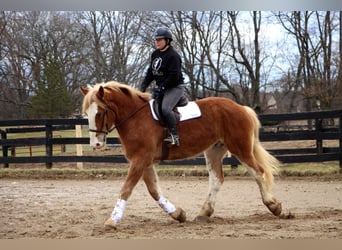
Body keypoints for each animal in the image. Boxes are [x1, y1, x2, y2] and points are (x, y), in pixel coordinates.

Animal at [81, 80, 284, 229]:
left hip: (240, 148)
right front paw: (177, 214)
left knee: (258, 172)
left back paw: (274, 207)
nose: (96, 144)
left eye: (100, 112)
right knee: (217, 179)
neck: (135, 118)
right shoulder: (144, 161)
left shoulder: (140, 160)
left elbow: (126, 189)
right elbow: (154, 191)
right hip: (214, 150)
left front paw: (112, 220)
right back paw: (204, 213)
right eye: (86, 114)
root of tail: (241, 107)